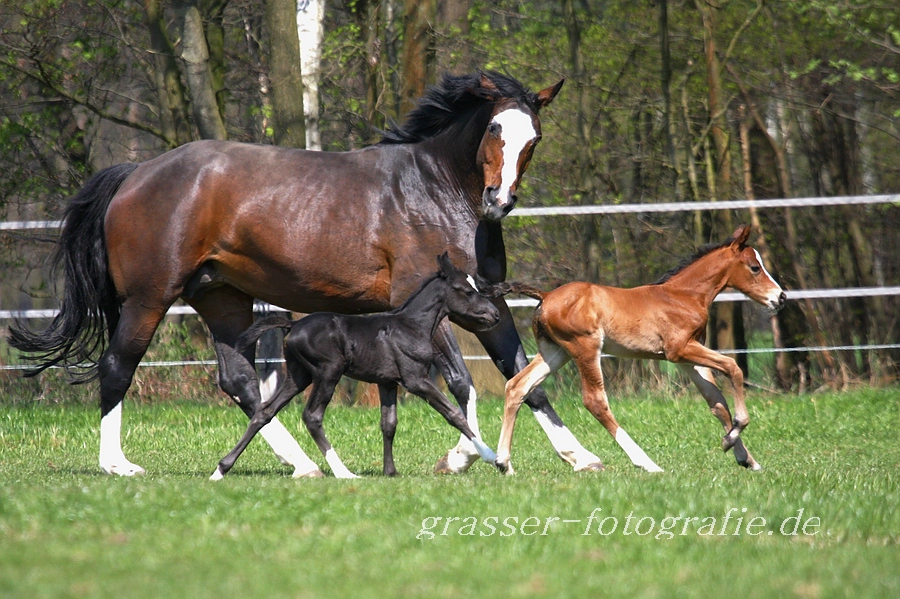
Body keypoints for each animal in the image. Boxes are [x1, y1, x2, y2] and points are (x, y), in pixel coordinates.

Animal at [214, 255, 502, 480]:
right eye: (467, 291)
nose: (495, 315)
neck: (410, 326)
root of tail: (292, 325)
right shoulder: (415, 379)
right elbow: (454, 414)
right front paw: (496, 459)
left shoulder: (387, 382)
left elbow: (389, 423)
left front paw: (390, 471)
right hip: (328, 372)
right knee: (312, 416)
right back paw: (344, 473)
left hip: (298, 375)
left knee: (264, 411)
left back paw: (221, 469)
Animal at [496, 227, 784, 476]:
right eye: (755, 267)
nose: (780, 298)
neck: (683, 296)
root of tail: (545, 295)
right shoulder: (679, 350)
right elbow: (733, 368)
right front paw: (734, 434)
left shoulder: (689, 359)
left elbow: (716, 402)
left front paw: (745, 457)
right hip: (585, 348)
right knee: (595, 401)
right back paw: (646, 463)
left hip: (555, 352)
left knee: (518, 386)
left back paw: (503, 463)